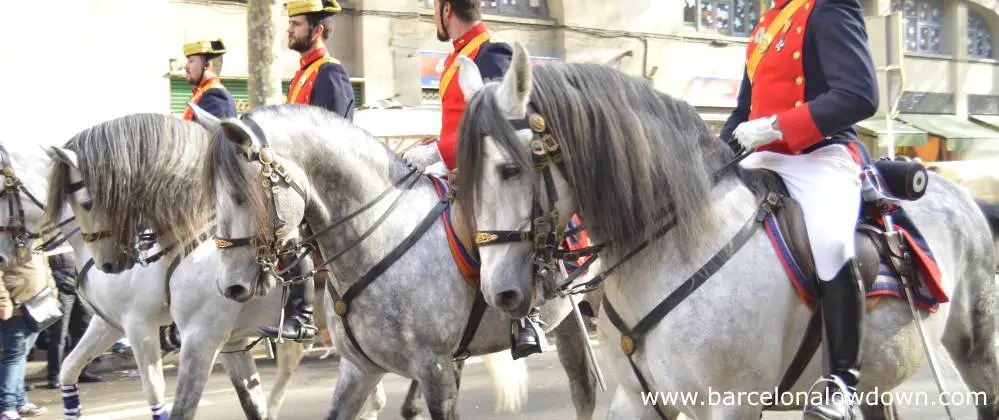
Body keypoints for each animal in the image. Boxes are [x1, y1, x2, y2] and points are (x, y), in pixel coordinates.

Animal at [454, 43, 999, 420]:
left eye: (509, 169)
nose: (500, 293)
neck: (677, 248)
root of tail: (964, 196)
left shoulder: (731, 402)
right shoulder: (637, 400)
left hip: (978, 353)